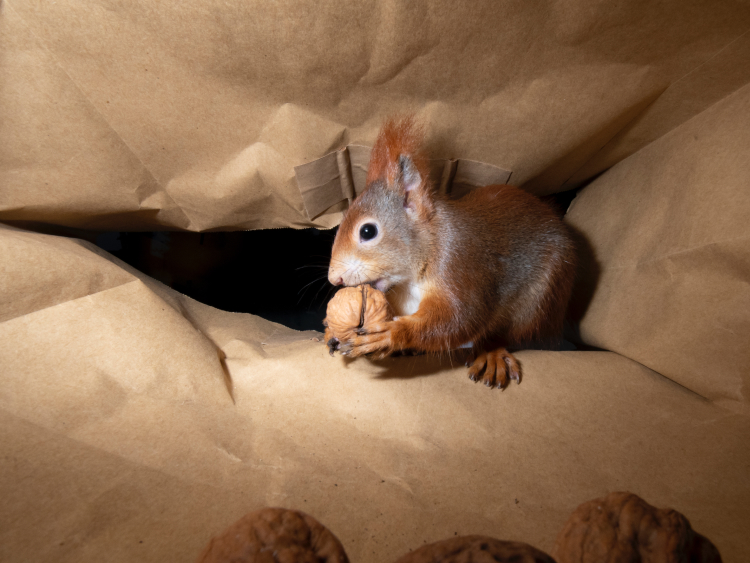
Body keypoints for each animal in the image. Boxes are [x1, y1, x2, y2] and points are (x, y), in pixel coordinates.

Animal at [326, 117, 580, 390]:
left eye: (368, 231)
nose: (334, 278)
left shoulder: (458, 263)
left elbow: (459, 319)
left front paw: (390, 335)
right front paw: (331, 329)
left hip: (537, 302)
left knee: (502, 334)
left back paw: (491, 352)